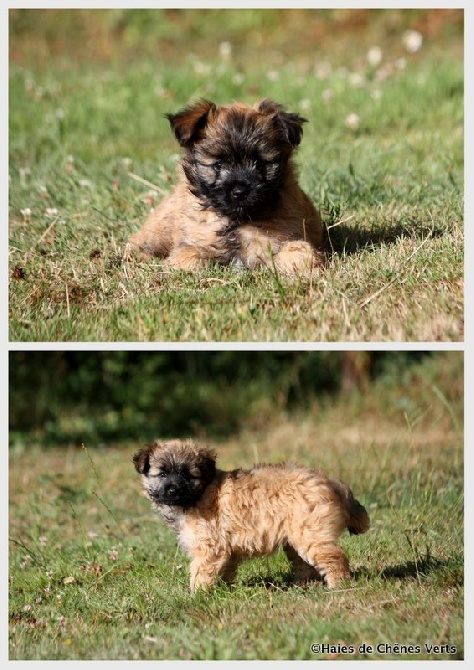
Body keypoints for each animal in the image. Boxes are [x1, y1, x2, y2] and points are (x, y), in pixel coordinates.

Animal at [126, 98, 326, 276]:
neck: (236, 221)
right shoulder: (192, 241)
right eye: (218, 164)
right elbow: (189, 255)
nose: (240, 192)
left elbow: (298, 252)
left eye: (260, 163)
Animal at [133, 440, 370, 592]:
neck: (201, 492)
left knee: (335, 558)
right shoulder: (225, 550)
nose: (174, 490)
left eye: (187, 475)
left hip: (311, 534)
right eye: (162, 473)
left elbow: (200, 572)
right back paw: (303, 586)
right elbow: (225, 571)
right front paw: (224, 591)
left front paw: (195, 596)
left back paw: (339, 586)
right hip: (297, 539)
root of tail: (329, 482)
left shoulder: (209, 547)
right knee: (304, 565)